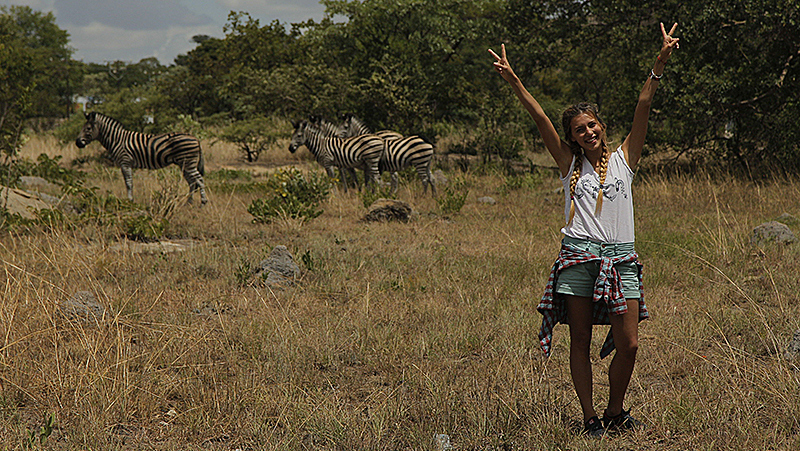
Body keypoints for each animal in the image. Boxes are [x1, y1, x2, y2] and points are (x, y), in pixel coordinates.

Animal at [75, 113, 208, 205]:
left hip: (189, 162)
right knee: (192, 182)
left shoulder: (125, 162)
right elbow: (130, 182)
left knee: (199, 180)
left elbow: (128, 183)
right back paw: (188, 203)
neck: (117, 140)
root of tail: (195, 138)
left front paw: (130, 200)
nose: (77, 143)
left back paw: (203, 202)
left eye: (88, 128)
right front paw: (131, 199)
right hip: (184, 164)